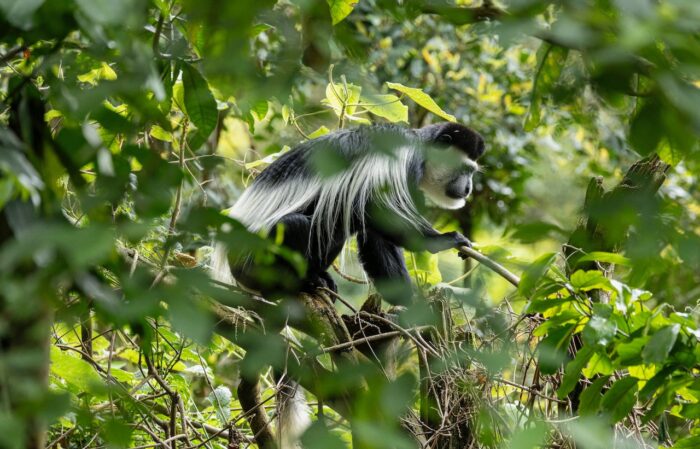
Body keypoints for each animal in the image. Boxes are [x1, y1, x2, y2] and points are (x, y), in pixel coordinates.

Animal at [211, 122, 485, 302]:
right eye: (465, 170)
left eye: (472, 172)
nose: (468, 189)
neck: (419, 145)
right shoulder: (399, 161)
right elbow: (380, 210)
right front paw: (443, 239)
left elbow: (375, 236)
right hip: (255, 256)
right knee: (296, 225)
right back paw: (301, 283)